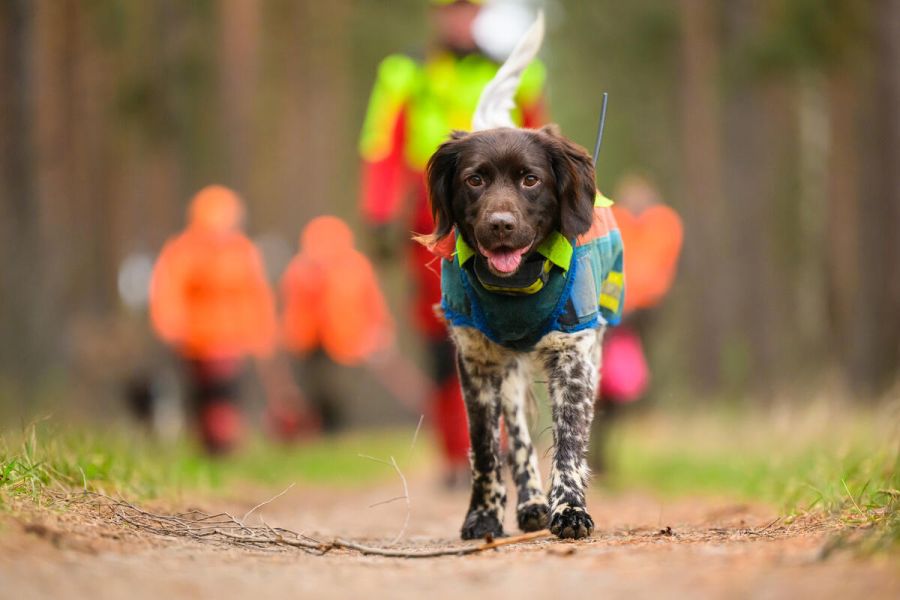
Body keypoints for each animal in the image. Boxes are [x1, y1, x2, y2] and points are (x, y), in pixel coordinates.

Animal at [422, 125, 624, 540]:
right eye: (475, 180)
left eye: (530, 180)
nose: (501, 224)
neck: (515, 286)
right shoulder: (476, 363)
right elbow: (486, 449)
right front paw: (483, 515)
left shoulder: (573, 358)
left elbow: (569, 441)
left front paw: (570, 509)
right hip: (510, 375)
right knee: (518, 440)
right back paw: (531, 502)